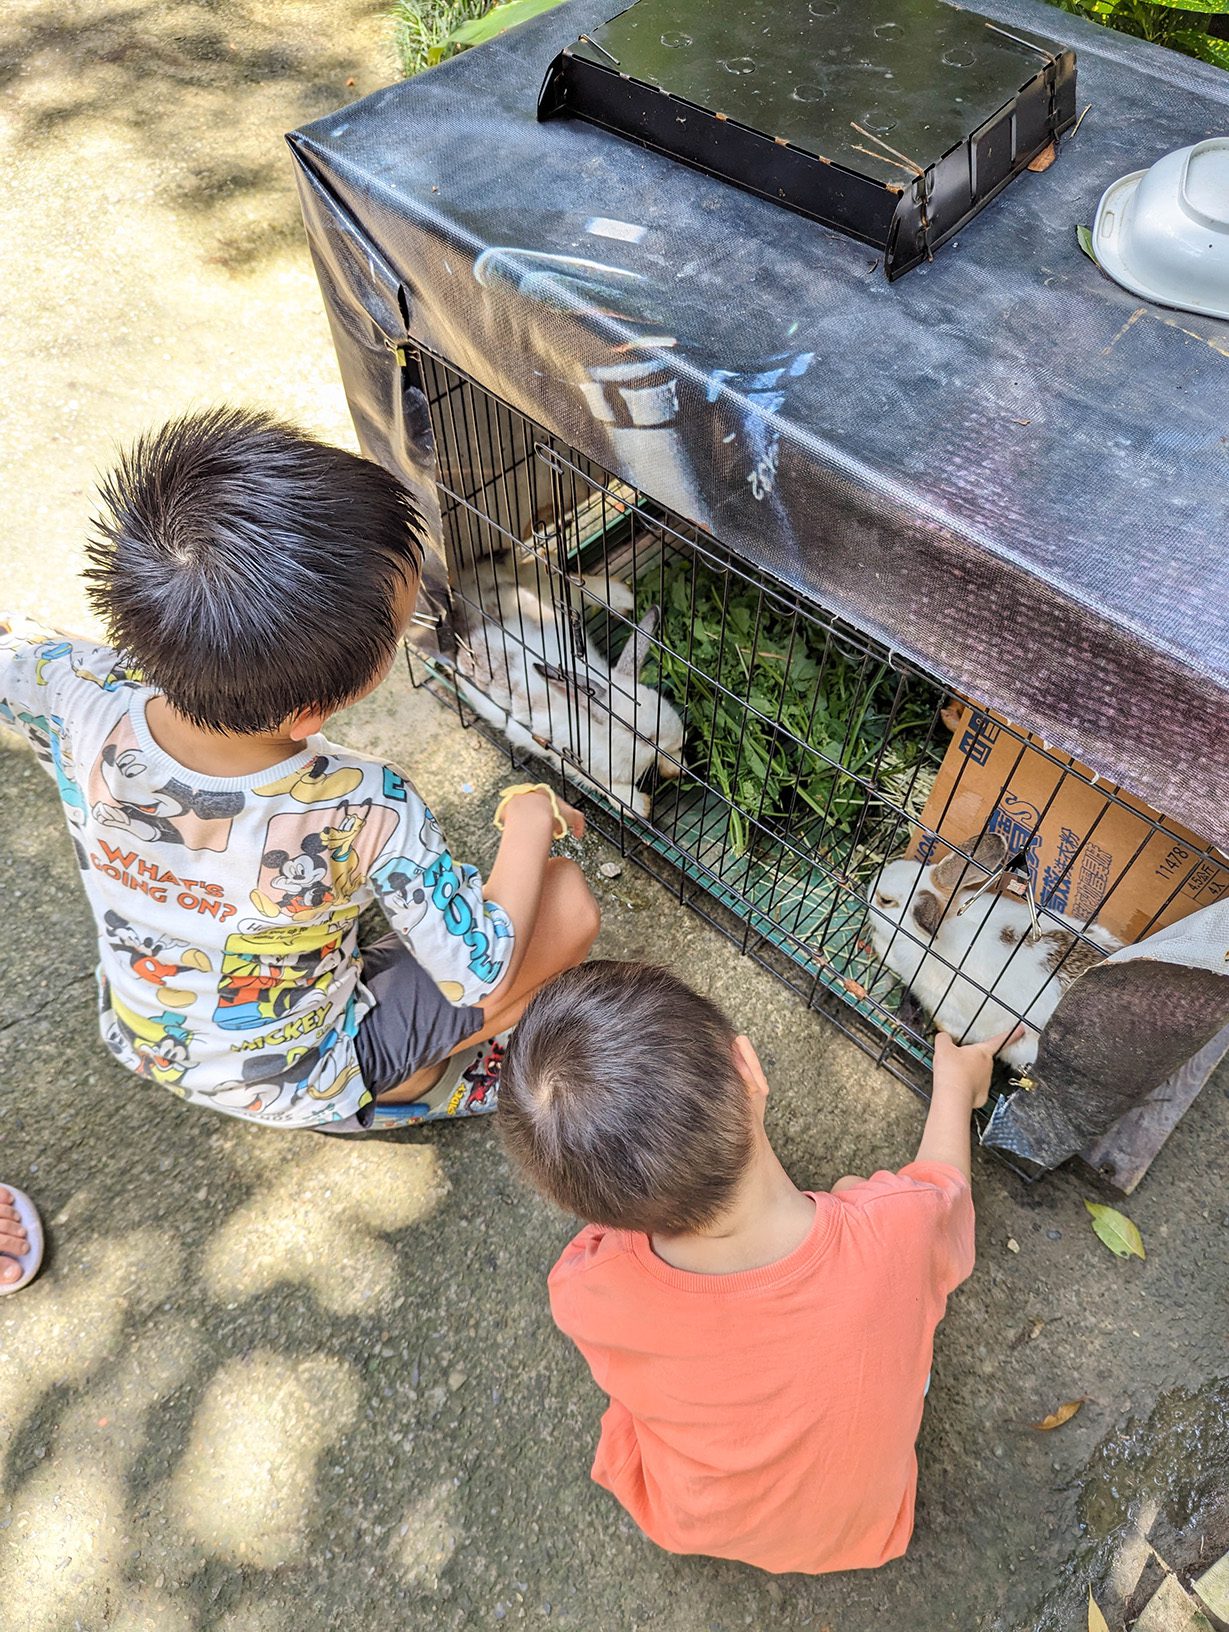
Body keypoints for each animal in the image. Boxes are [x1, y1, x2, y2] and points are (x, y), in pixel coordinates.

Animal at [447, 554, 682, 822]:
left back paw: (623, 598)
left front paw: (677, 766)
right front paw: (639, 806)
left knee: (570, 580)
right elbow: (608, 787)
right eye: (643, 737)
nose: (681, 737)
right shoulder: (574, 763)